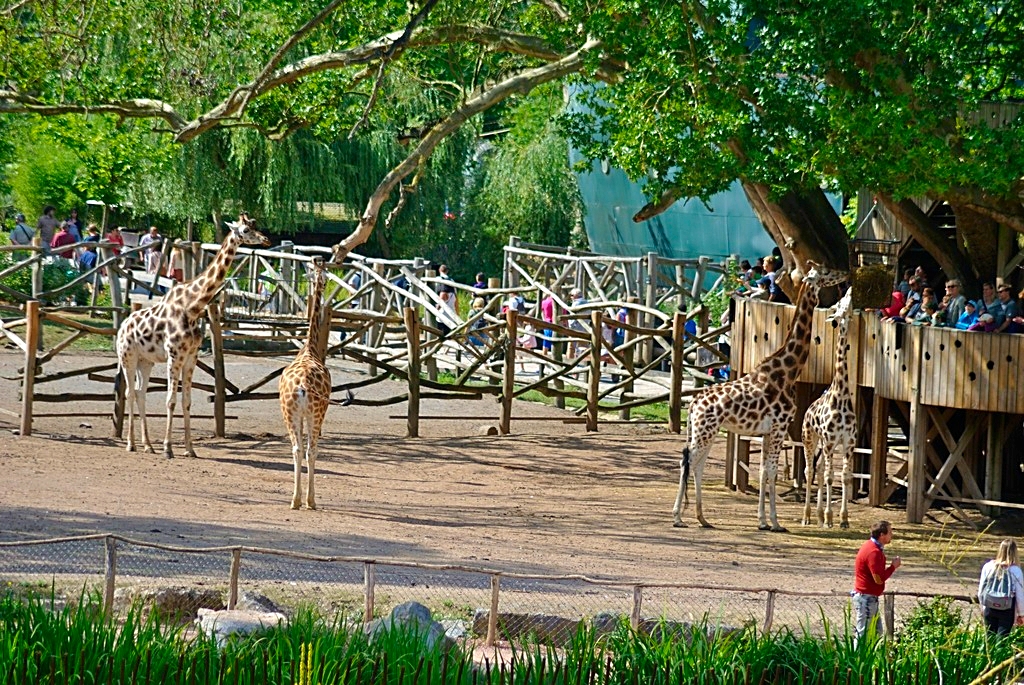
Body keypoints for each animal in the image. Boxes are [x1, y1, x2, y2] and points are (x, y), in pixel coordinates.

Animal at [116, 215, 269, 458]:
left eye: (256, 225)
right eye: (245, 230)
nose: (265, 239)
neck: (193, 307)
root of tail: (122, 326)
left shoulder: (191, 357)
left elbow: (186, 401)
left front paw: (190, 449)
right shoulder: (174, 355)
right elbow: (170, 400)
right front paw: (168, 449)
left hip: (145, 361)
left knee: (140, 393)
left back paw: (148, 445)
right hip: (127, 357)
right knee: (130, 393)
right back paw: (131, 444)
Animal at [672, 263, 848, 531]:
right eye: (826, 273)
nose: (845, 274)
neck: (788, 371)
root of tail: (692, 405)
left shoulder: (768, 432)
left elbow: (764, 470)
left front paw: (762, 520)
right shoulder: (779, 427)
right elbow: (771, 471)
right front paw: (774, 522)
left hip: (704, 431)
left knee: (697, 465)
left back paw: (702, 518)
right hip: (704, 431)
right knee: (688, 461)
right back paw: (678, 517)